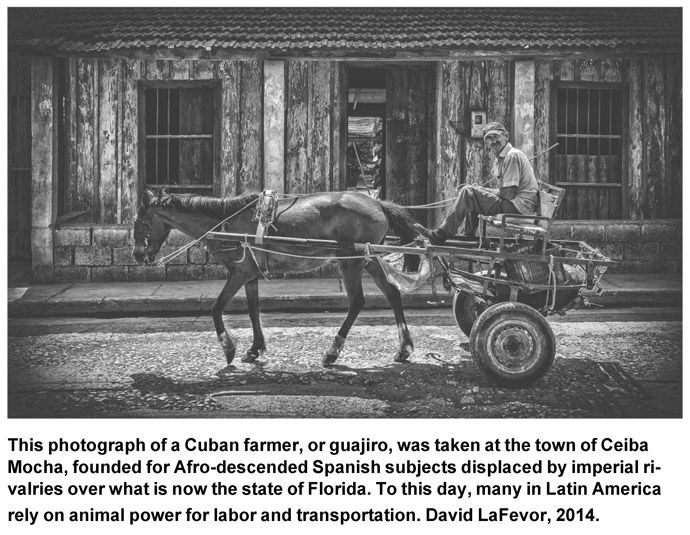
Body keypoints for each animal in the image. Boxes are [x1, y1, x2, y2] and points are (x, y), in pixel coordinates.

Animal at [128, 188, 420, 368]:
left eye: (139, 221)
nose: (138, 254)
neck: (224, 223)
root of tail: (378, 203)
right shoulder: (250, 274)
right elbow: (253, 310)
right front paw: (254, 348)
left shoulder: (239, 272)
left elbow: (216, 308)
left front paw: (228, 348)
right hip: (369, 259)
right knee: (392, 293)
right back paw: (404, 348)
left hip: (351, 260)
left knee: (357, 301)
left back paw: (332, 352)